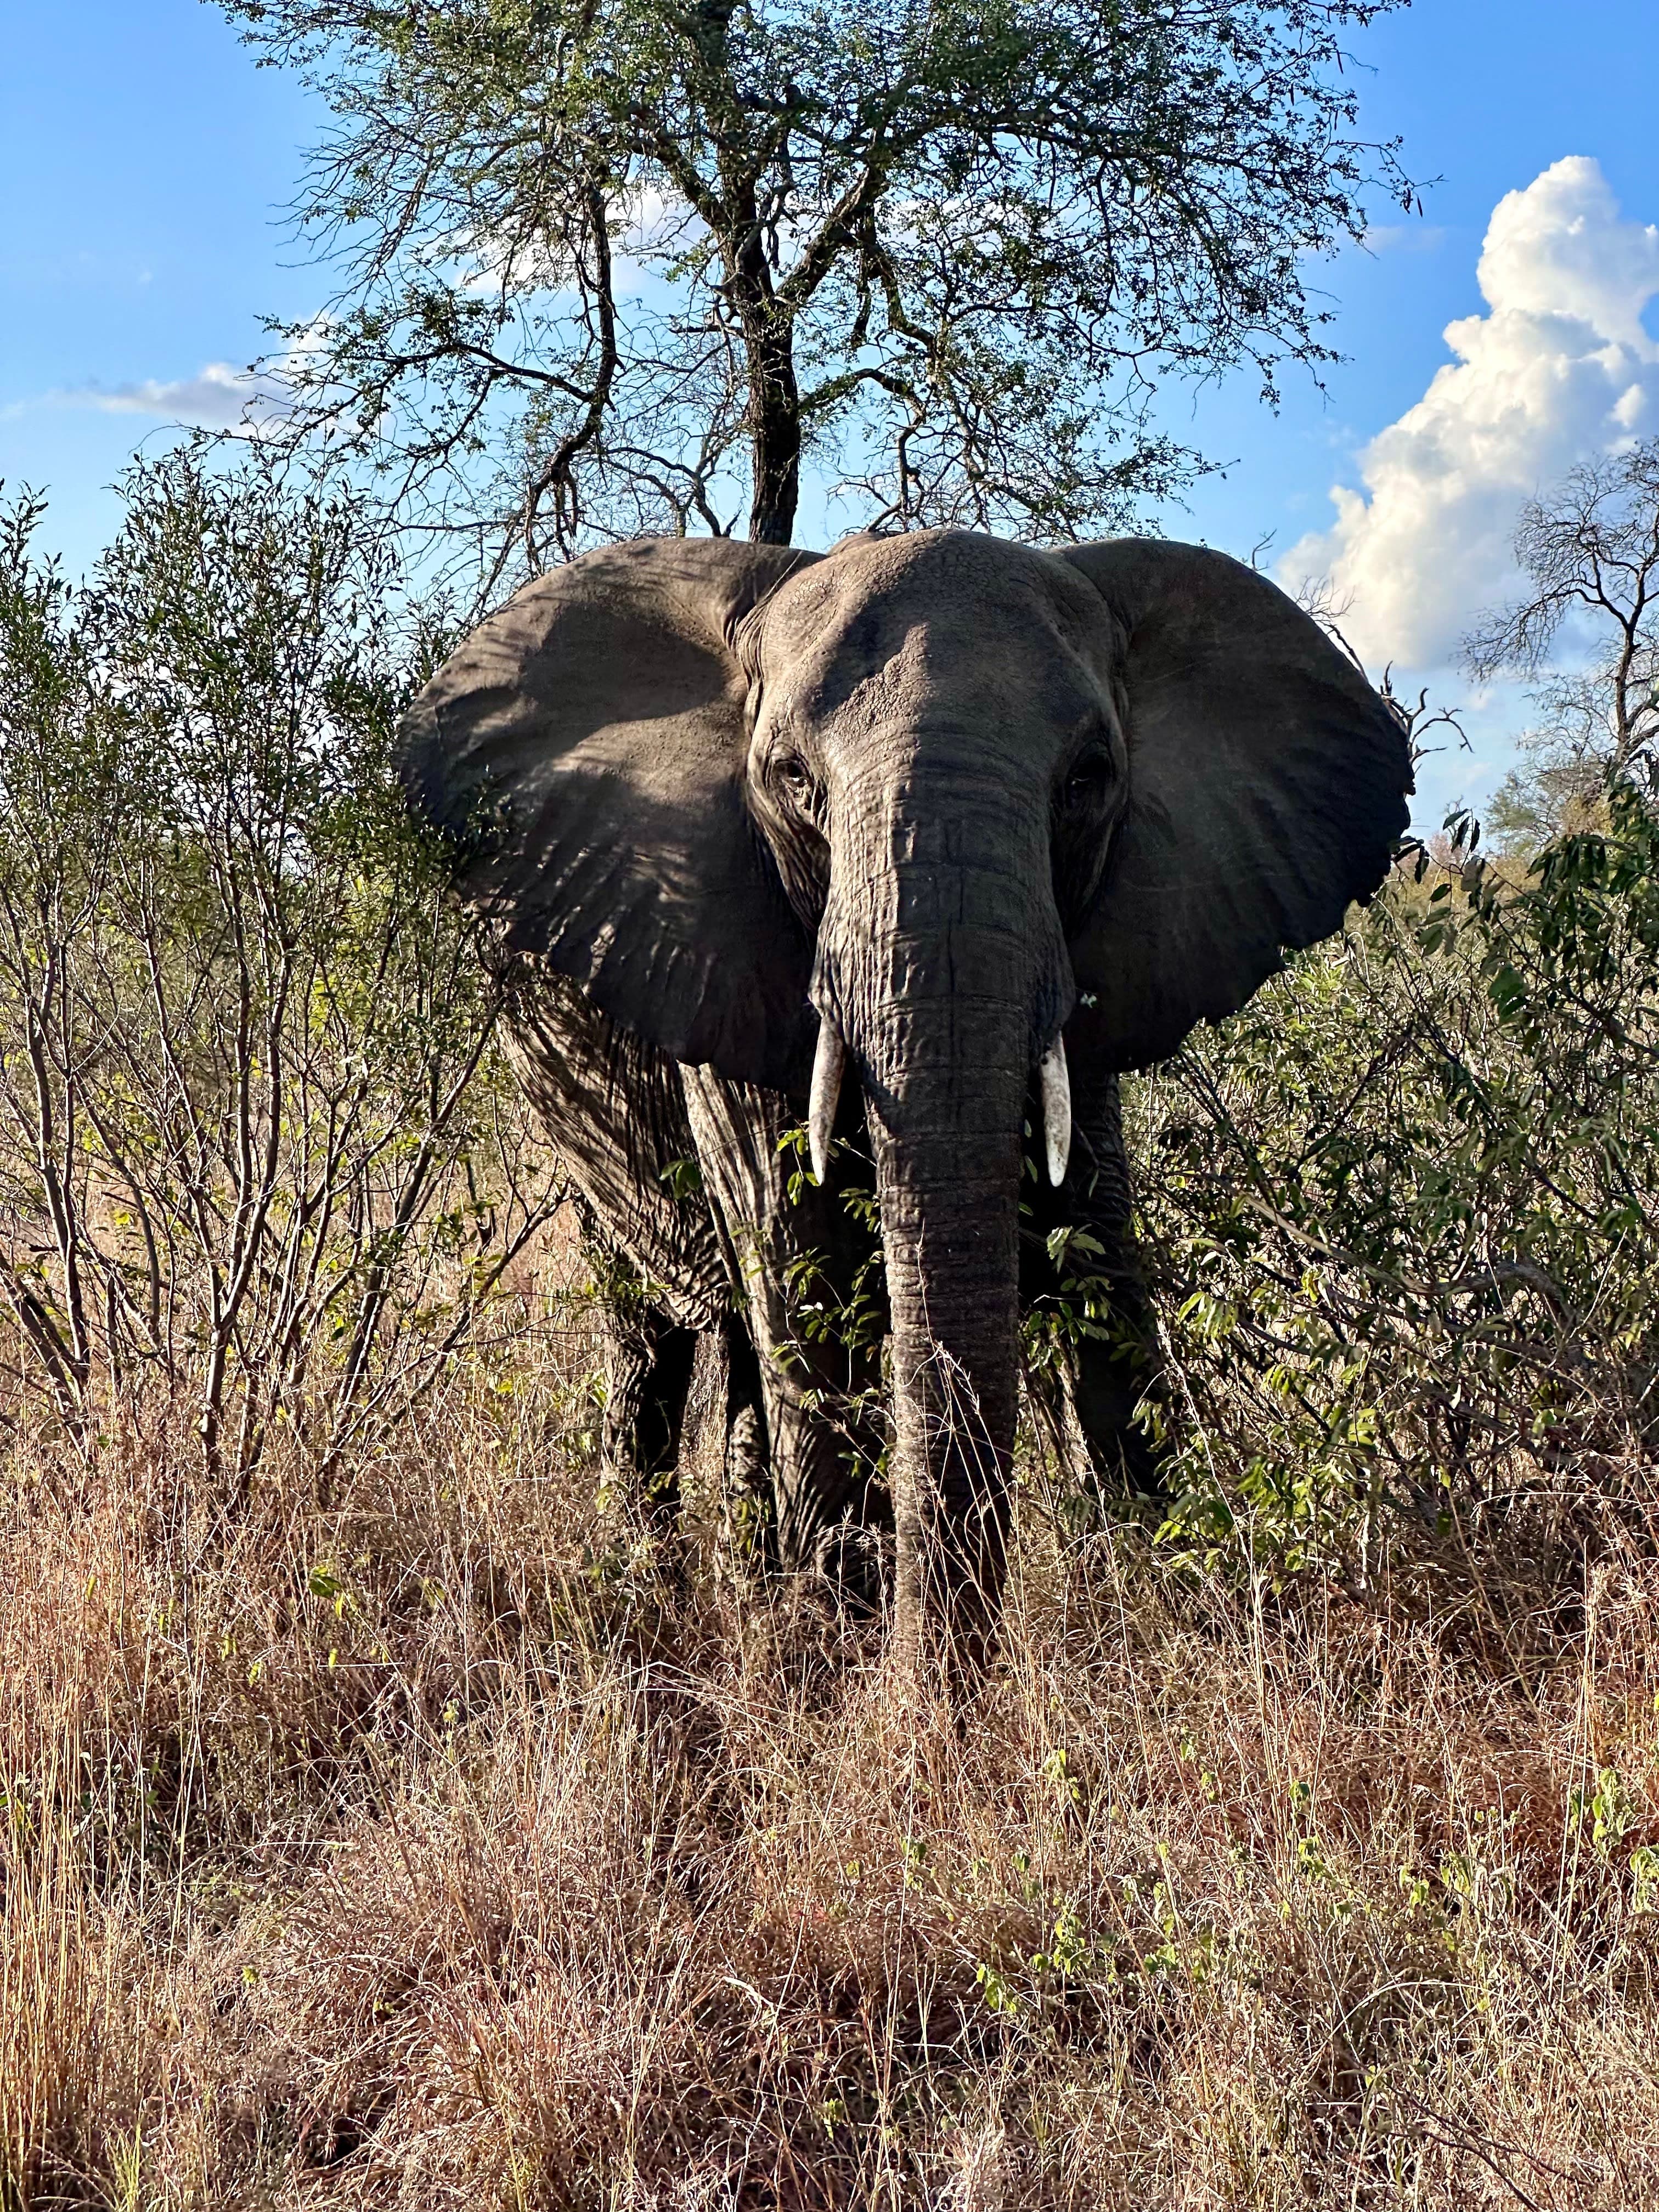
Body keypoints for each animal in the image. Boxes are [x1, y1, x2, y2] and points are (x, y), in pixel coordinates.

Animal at [398, 528, 1411, 1665]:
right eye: (790, 777)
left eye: (1088, 777)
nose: (938, 1682)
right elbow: (808, 1296)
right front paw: (847, 1670)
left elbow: (1100, 1269)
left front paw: (1173, 1622)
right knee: (656, 1343)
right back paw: (668, 1599)